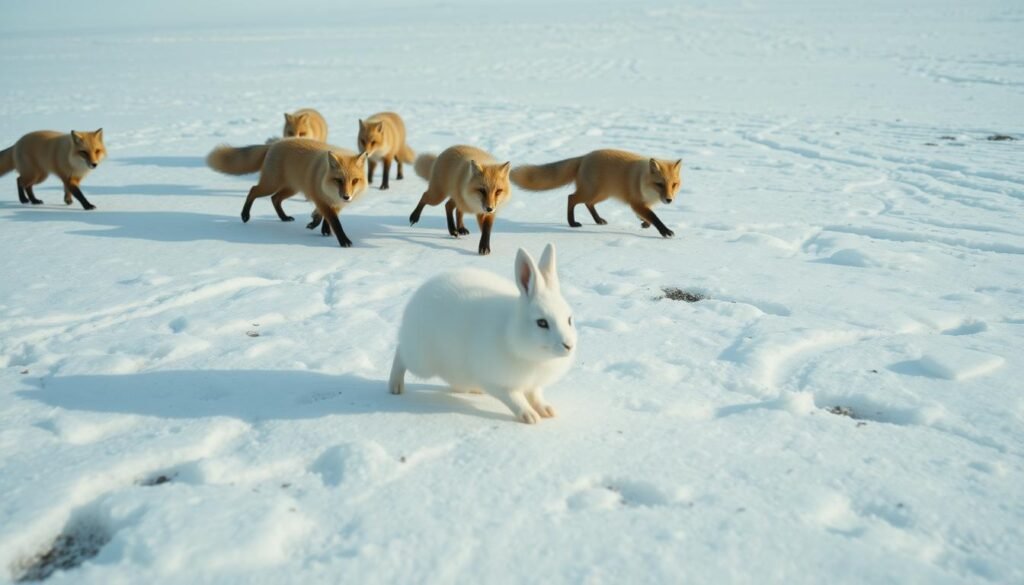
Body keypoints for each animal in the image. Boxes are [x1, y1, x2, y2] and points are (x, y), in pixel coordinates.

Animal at [389, 243, 577, 424]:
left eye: (569, 319)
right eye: (542, 323)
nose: (568, 345)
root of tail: (419, 294)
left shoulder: (533, 384)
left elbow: (535, 396)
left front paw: (546, 410)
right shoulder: (498, 383)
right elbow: (515, 399)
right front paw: (529, 416)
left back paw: (474, 390)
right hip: (421, 360)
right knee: (401, 353)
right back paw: (395, 387)